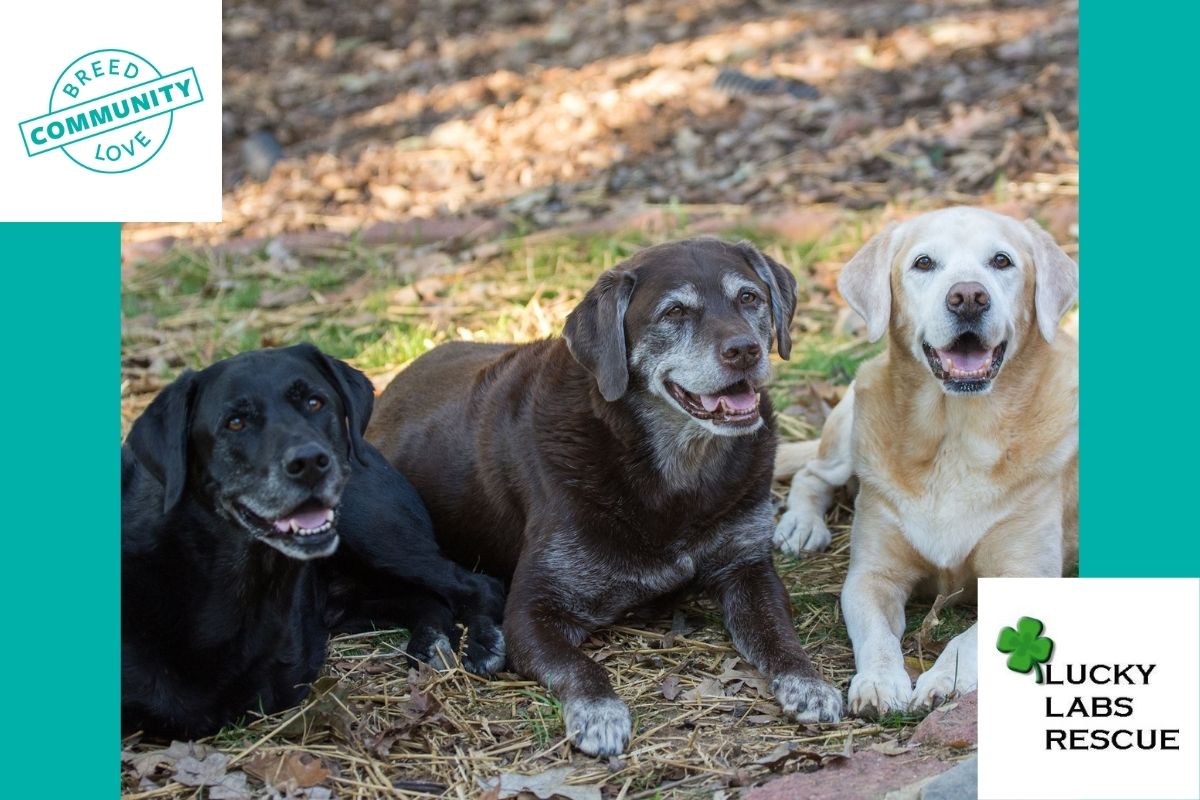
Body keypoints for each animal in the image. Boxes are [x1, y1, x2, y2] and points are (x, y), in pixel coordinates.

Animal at [118, 345, 501, 738]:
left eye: (315, 402)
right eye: (235, 423)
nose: (310, 462)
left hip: (374, 532)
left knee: (478, 584)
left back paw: (481, 643)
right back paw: (429, 642)